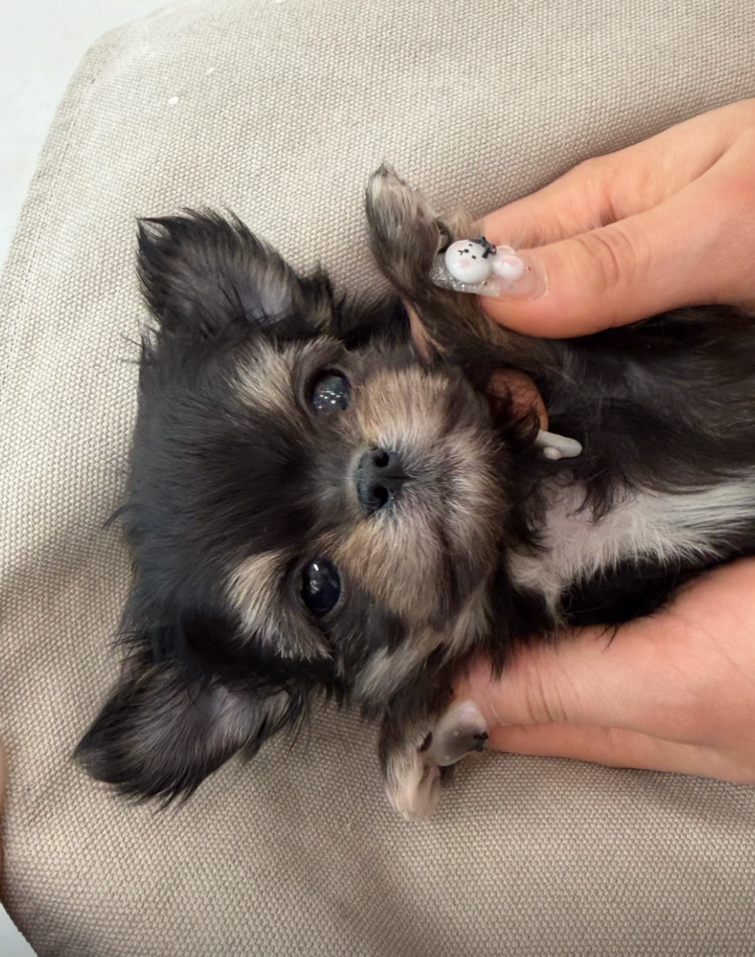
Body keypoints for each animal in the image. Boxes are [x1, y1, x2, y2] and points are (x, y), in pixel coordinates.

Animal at [76, 165, 755, 818]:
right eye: (318, 587)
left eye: (329, 390)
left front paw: (418, 243)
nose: (373, 476)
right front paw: (414, 745)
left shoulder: (646, 368)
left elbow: (493, 334)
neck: (525, 499)